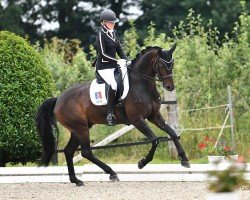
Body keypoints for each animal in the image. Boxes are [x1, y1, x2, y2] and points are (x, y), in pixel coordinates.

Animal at [35, 43, 189, 186]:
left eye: (172, 63)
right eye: (161, 64)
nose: (170, 87)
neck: (141, 84)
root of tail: (58, 99)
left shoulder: (154, 116)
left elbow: (172, 133)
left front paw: (184, 160)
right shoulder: (137, 120)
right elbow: (155, 140)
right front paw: (142, 163)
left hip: (80, 128)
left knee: (69, 151)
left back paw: (76, 180)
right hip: (80, 128)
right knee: (86, 152)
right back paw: (111, 173)